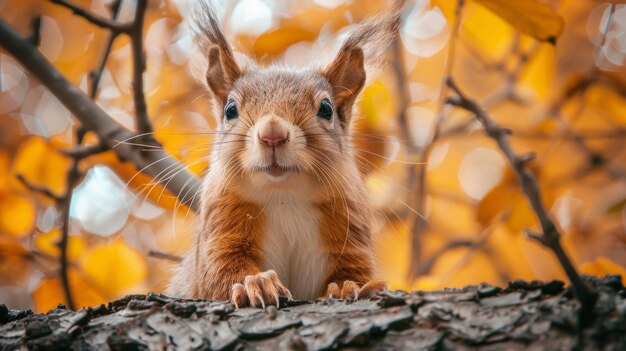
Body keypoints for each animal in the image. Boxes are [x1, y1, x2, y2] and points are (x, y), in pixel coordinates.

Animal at [168, 0, 404, 308]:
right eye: (230, 109)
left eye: (326, 108)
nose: (272, 134)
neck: (285, 196)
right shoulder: (221, 224)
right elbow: (220, 271)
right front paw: (256, 283)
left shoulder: (349, 227)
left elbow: (354, 270)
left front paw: (347, 287)